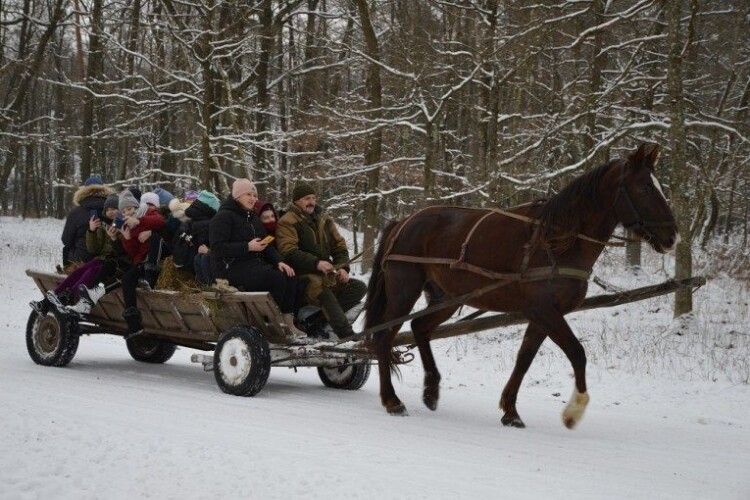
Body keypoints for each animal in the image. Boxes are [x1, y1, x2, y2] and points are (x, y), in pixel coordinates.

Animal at [366, 143, 680, 428]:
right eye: (644, 188)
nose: (672, 237)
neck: (557, 241)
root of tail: (403, 222)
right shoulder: (544, 311)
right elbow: (577, 353)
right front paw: (573, 411)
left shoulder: (541, 315)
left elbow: (524, 359)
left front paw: (510, 411)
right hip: (404, 291)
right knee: (383, 337)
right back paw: (392, 400)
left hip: (448, 298)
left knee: (419, 328)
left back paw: (431, 390)